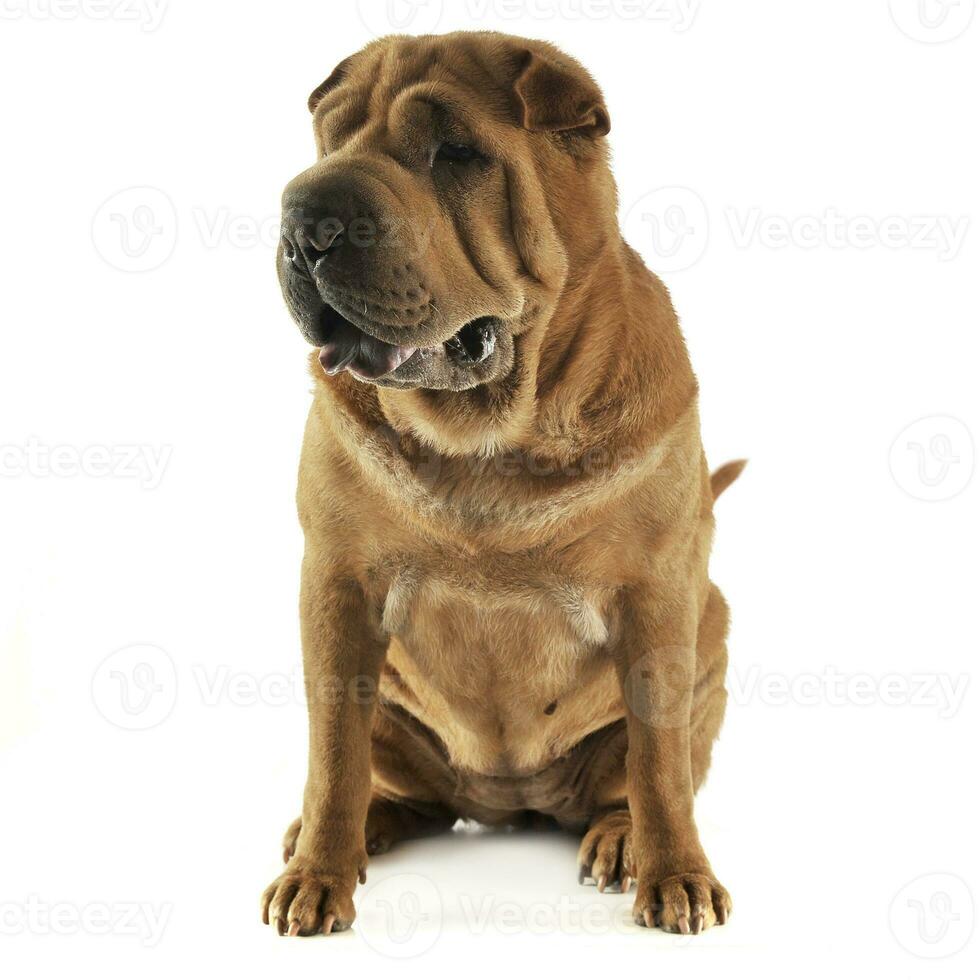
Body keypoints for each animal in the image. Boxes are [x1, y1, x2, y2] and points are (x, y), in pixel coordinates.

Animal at [260, 28, 744, 936]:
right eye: (328, 139)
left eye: (455, 152)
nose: (304, 220)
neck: (486, 440)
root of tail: (508, 803)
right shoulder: (335, 588)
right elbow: (332, 752)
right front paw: (318, 873)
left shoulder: (659, 594)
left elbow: (660, 764)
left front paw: (677, 878)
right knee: (387, 783)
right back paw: (345, 828)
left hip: (714, 633)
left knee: (635, 781)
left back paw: (620, 840)